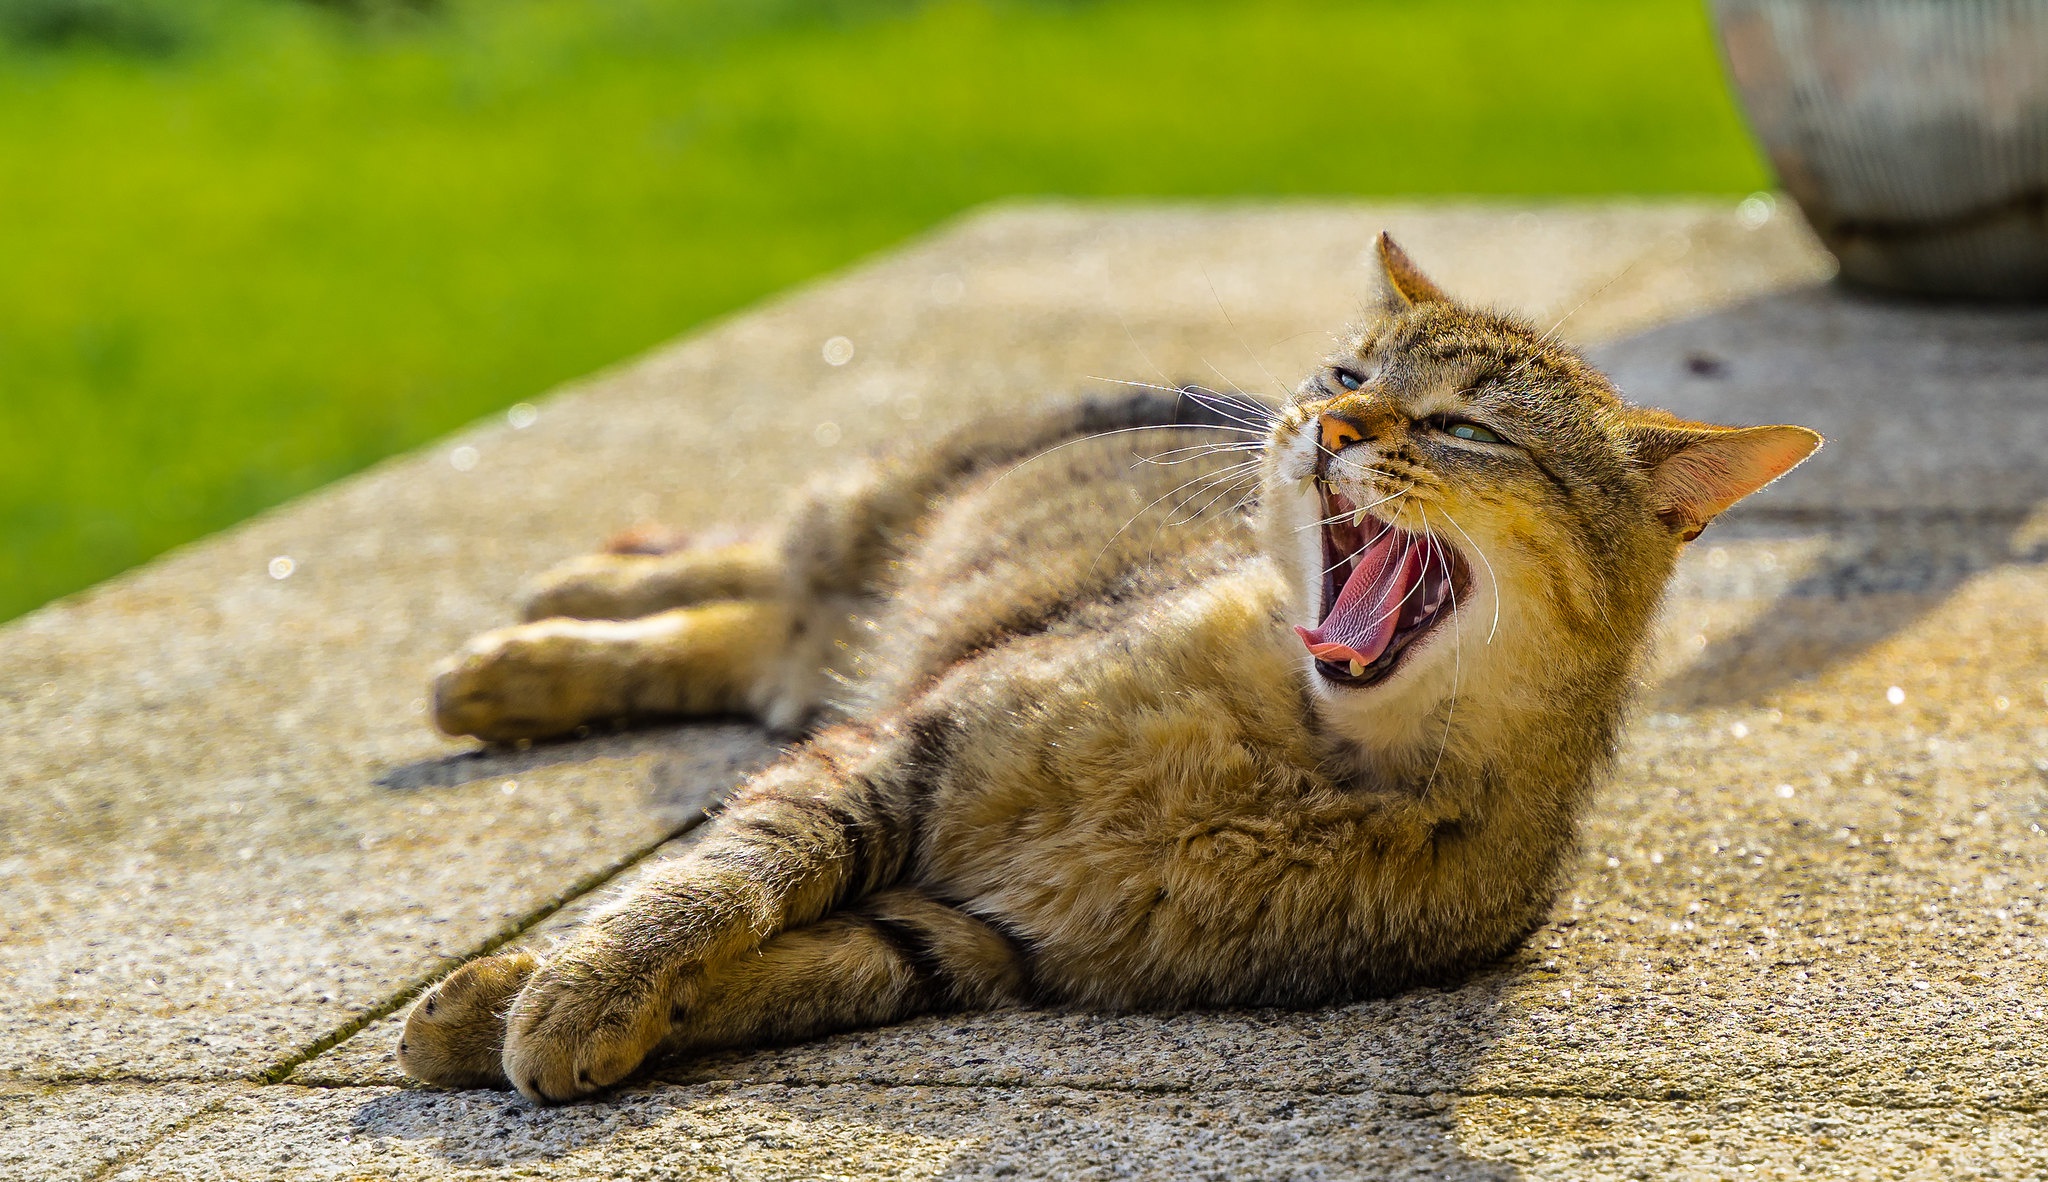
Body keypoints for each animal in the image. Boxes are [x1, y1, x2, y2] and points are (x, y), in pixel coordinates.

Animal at [399, 235, 1826, 1098]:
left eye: (1465, 428)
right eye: (1347, 371)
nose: (1329, 423)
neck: (1295, 757)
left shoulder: (973, 940)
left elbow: (770, 968)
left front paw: (515, 1007)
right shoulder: (900, 754)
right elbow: (714, 881)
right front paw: (573, 986)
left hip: (823, 667)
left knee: (750, 634)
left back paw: (517, 672)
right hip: (872, 535)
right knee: (757, 562)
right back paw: (544, 623)